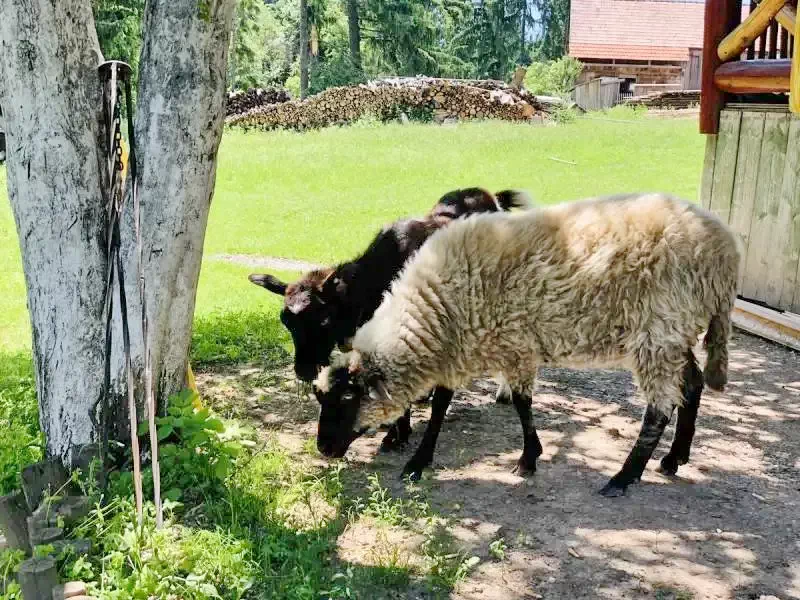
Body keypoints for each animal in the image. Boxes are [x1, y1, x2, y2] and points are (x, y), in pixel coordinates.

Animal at [310, 192, 736, 496]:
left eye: (347, 398)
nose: (323, 448)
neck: (434, 309)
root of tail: (726, 249)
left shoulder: (513, 344)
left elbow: (519, 403)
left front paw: (527, 458)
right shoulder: (469, 345)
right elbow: (449, 404)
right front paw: (422, 458)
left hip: (659, 330)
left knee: (660, 406)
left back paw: (623, 477)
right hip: (676, 331)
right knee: (692, 385)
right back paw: (674, 457)